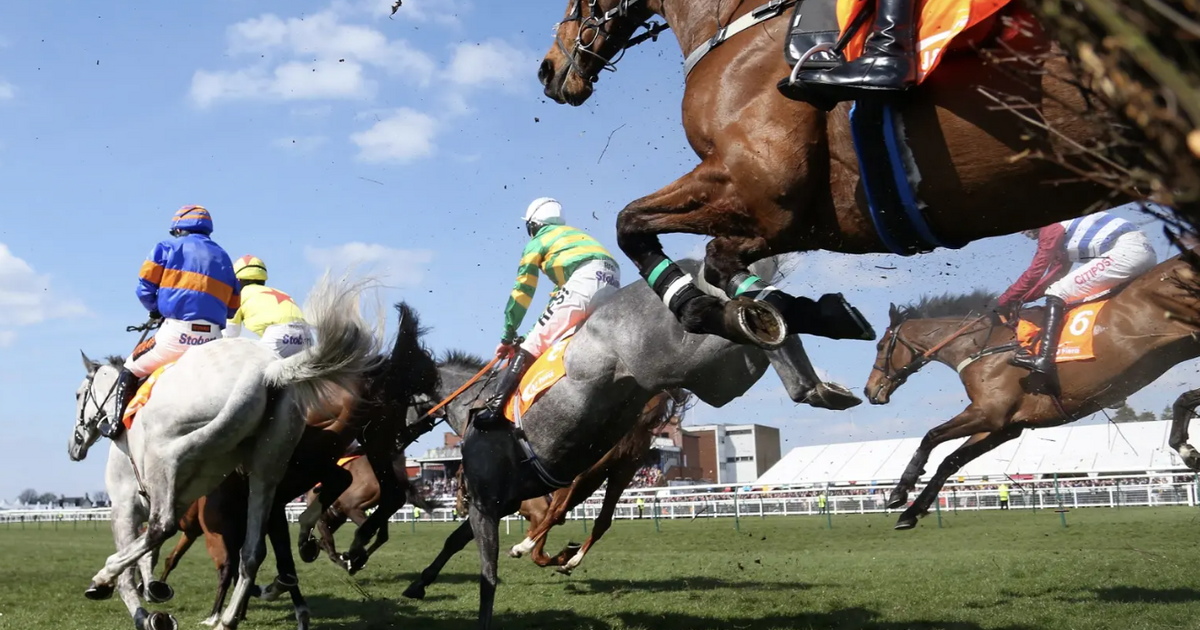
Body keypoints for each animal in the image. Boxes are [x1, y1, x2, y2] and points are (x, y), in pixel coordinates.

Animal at [72, 273, 379, 628]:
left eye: (78, 395)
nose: (74, 446)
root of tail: (264, 372)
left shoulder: (126, 502)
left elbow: (138, 558)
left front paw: (117, 591)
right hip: (266, 471)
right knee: (255, 550)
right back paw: (235, 612)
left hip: (178, 456)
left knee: (165, 526)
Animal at [403, 258, 864, 624]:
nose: (401, 432)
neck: (476, 405)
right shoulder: (503, 503)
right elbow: (458, 540)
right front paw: (418, 584)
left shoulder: (495, 503)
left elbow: (488, 562)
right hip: (709, 385)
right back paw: (824, 353)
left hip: (684, 357)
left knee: (731, 320)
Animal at [864, 253, 1200, 528]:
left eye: (880, 346)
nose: (870, 391)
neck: (982, 345)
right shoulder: (1005, 426)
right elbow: (951, 460)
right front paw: (911, 511)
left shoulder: (989, 413)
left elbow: (930, 436)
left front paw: (900, 491)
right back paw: (1185, 443)